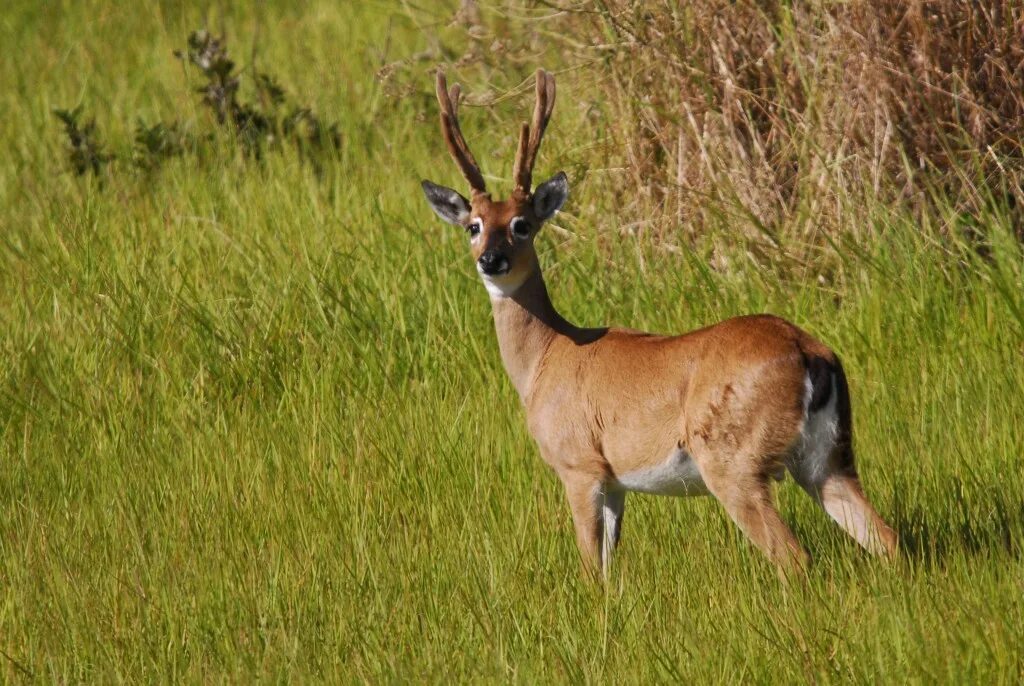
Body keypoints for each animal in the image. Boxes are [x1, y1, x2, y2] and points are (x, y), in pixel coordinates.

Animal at [415, 68, 897, 581]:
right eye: (474, 225)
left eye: (522, 224)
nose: (491, 260)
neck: (546, 359)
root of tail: (810, 352)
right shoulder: (615, 481)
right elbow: (610, 568)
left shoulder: (580, 464)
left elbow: (591, 567)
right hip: (828, 456)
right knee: (884, 539)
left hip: (732, 459)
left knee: (794, 556)